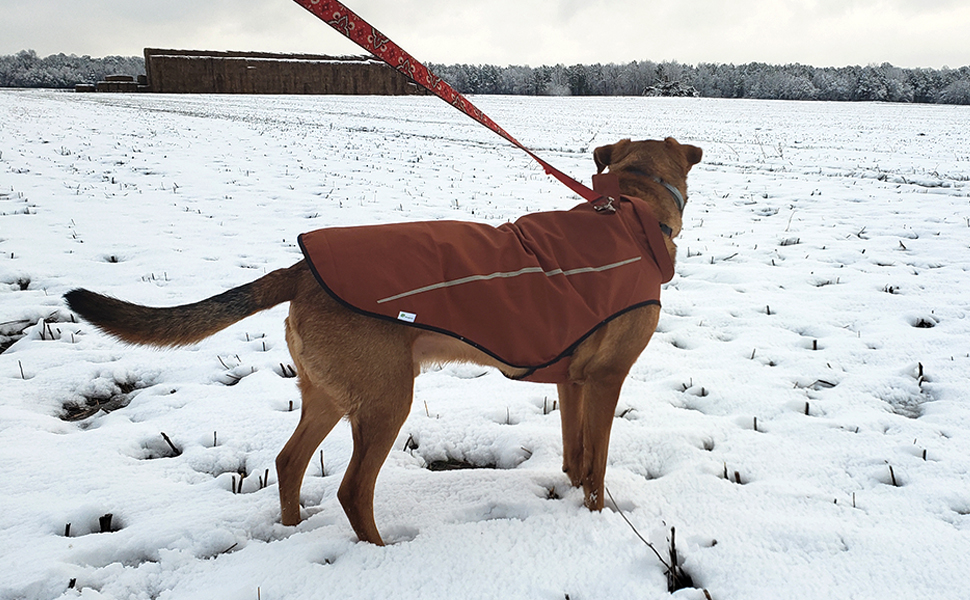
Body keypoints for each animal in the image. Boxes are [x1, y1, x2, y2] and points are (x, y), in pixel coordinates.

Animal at [68, 138, 700, 548]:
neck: (631, 211)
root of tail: (302, 271)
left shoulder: (570, 380)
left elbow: (575, 454)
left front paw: (571, 495)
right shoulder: (606, 379)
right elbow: (596, 465)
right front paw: (595, 516)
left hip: (330, 393)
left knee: (289, 462)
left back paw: (292, 530)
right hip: (387, 399)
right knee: (352, 490)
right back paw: (379, 552)